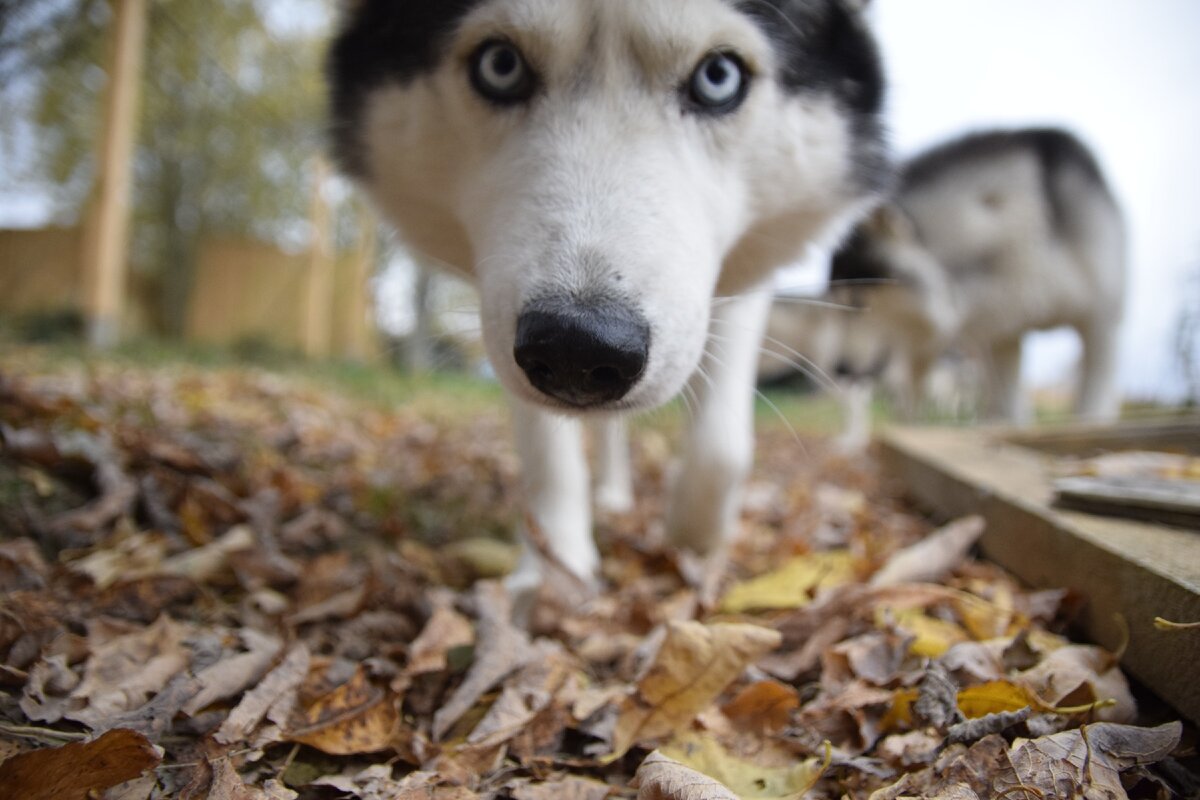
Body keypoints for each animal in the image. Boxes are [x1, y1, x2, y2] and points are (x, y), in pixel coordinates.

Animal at [324, 0, 888, 587]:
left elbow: (720, 448)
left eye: (718, 77)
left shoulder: (740, 280)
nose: (576, 347)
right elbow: (546, 445)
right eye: (499, 65)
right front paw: (555, 569)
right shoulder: (500, 298)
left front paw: (696, 538)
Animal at [825, 126, 1123, 424]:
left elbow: (1093, 397)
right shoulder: (1003, 334)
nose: (839, 369)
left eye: (856, 301)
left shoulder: (1099, 321)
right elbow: (1009, 406)